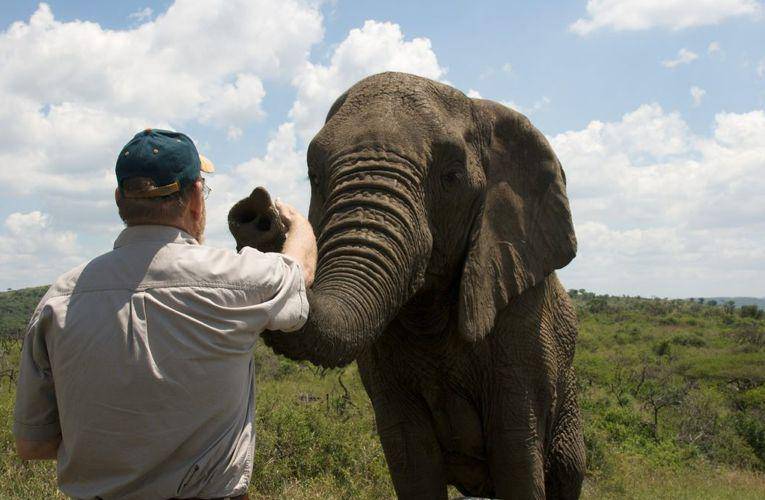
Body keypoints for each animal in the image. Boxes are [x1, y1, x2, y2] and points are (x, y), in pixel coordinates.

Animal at [228, 71, 584, 500]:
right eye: (315, 176)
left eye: (451, 177)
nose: (259, 210)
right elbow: (412, 459)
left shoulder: (524, 329)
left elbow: (517, 459)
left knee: (566, 471)